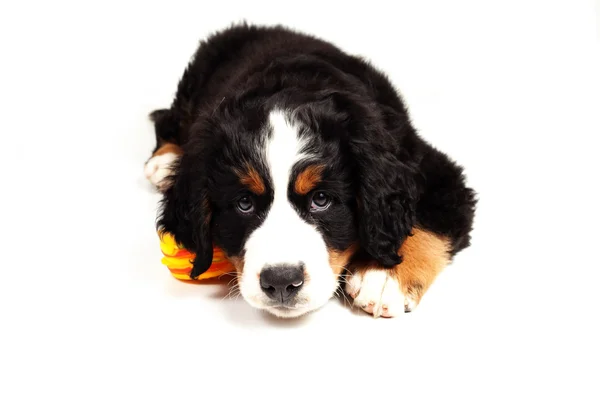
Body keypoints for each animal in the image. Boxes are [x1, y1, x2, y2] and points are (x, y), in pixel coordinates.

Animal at [143, 24, 476, 318]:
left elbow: (430, 223)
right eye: (244, 203)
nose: (281, 282)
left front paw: (382, 278)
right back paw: (166, 163)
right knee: (169, 118)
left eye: (321, 199)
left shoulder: (437, 172)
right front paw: (382, 276)